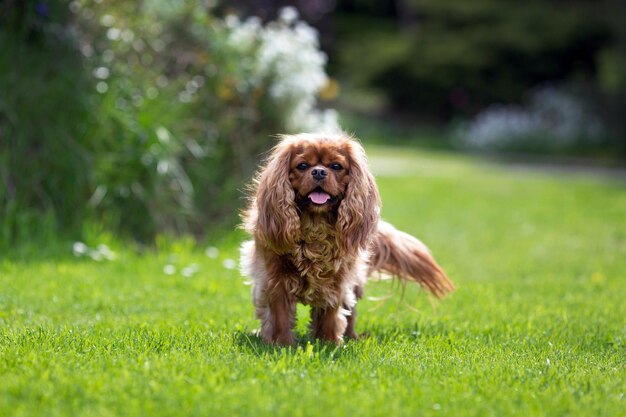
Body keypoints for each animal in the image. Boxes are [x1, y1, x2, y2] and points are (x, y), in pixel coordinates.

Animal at [240, 133, 454, 344]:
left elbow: (331, 314)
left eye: (336, 166)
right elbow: (280, 316)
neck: (315, 226)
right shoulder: (275, 278)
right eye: (302, 165)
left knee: (351, 311)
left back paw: (352, 337)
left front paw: (329, 343)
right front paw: (281, 344)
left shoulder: (337, 281)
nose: (319, 172)